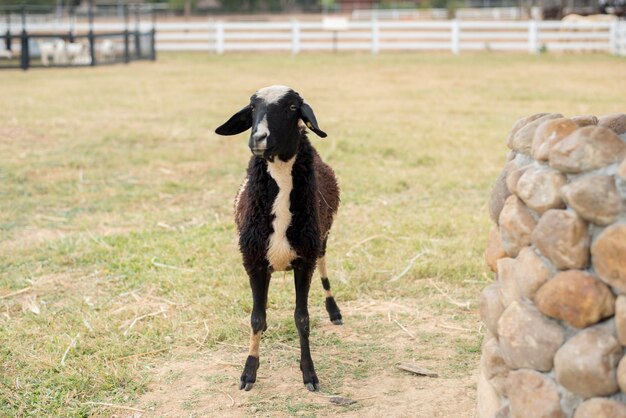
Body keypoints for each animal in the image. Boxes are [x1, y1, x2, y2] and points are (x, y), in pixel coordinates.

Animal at [214, 85, 342, 392]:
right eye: (252, 107)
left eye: (293, 107)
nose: (258, 137)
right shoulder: (254, 261)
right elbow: (256, 317)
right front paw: (249, 372)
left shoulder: (304, 261)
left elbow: (302, 319)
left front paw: (309, 374)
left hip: (322, 237)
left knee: (324, 264)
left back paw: (334, 310)